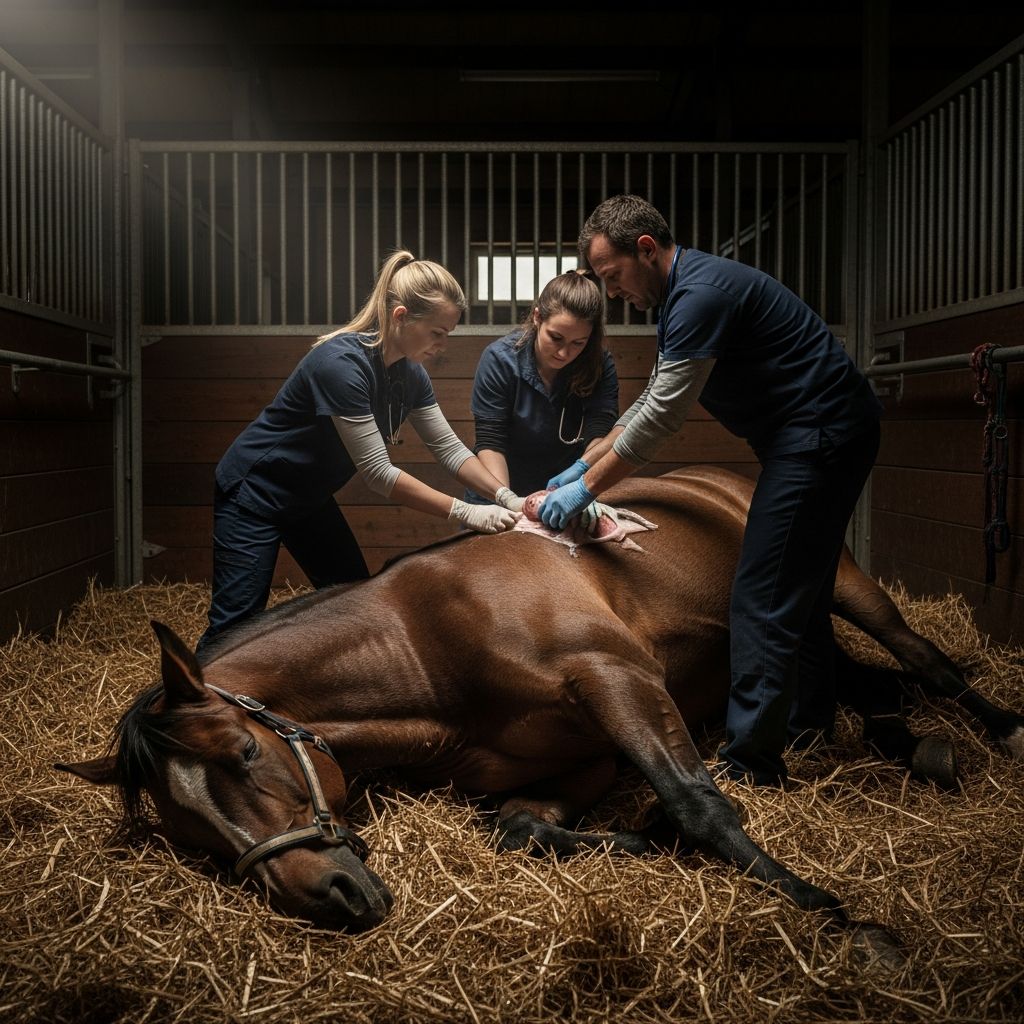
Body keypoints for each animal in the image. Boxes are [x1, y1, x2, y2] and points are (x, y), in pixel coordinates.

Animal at [57, 467, 1023, 948]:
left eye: (247, 754)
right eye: (188, 834)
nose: (327, 895)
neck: (428, 646)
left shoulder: (617, 678)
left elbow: (698, 804)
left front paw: (840, 920)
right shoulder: (580, 755)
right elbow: (520, 827)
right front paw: (639, 840)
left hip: (844, 588)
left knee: (925, 662)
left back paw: (996, 730)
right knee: (869, 688)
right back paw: (907, 744)